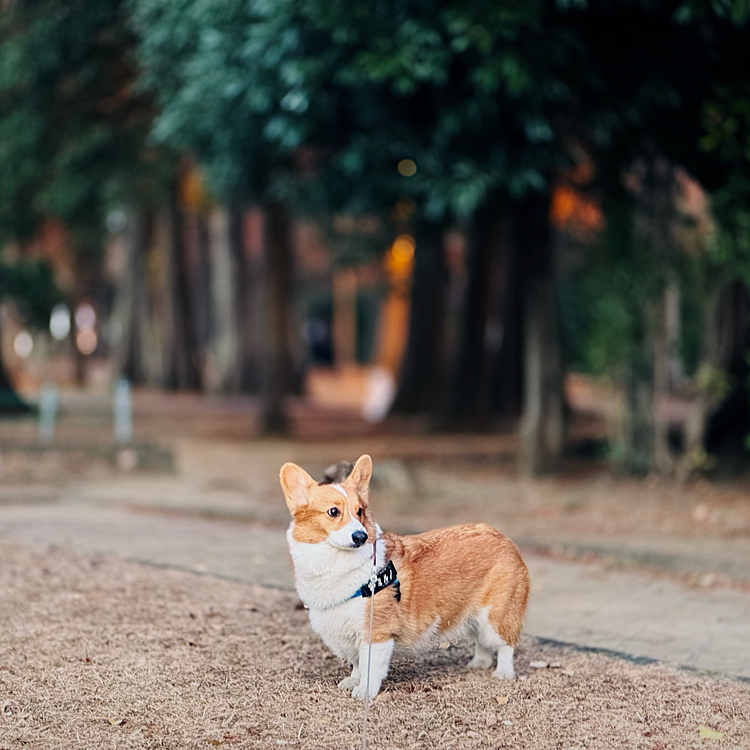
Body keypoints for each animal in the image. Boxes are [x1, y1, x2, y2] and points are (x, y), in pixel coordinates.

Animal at [280, 456, 532, 704]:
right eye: (333, 512)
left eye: (360, 511)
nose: (360, 536)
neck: (335, 562)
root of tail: (505, 538)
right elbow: (358, 663)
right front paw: (354, 680)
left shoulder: (376, 634)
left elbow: (369, 667)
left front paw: (364, 692)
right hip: (471, 616)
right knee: (482, 641)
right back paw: (480, 662)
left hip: (496, 616)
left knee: (505, 644)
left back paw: (503, 672)